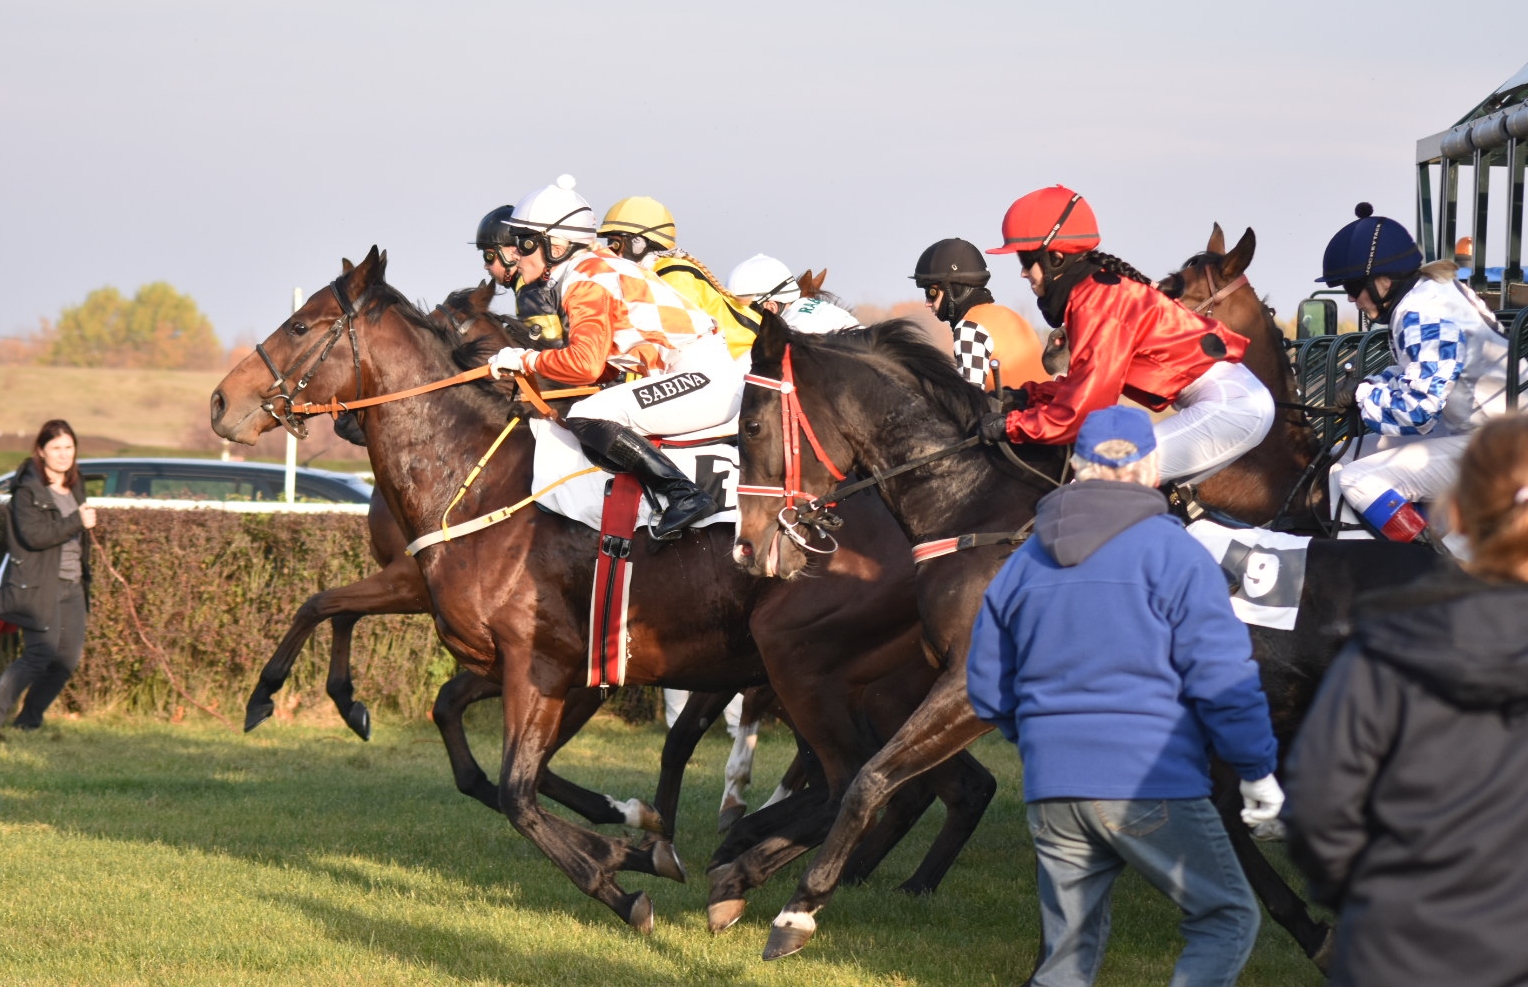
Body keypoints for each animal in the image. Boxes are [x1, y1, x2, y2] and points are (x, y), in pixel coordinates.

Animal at [210, 248, 995, 933]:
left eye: (301, 325)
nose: (221, 403)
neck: (477, 480)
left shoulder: (544, 666)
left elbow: (518, 792)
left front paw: (626, 871)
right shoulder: (520, 660)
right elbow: (454, 728)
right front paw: (636, 837)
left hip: (805, 662)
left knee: (861, 779)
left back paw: (753, 868)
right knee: (900, 782)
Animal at [732, 302, 1443, 962]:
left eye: (750, 426)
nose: (748, 547)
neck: (978, 508)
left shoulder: (972, 688)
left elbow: (869, 779)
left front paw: (795, 907)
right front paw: (741, 872)